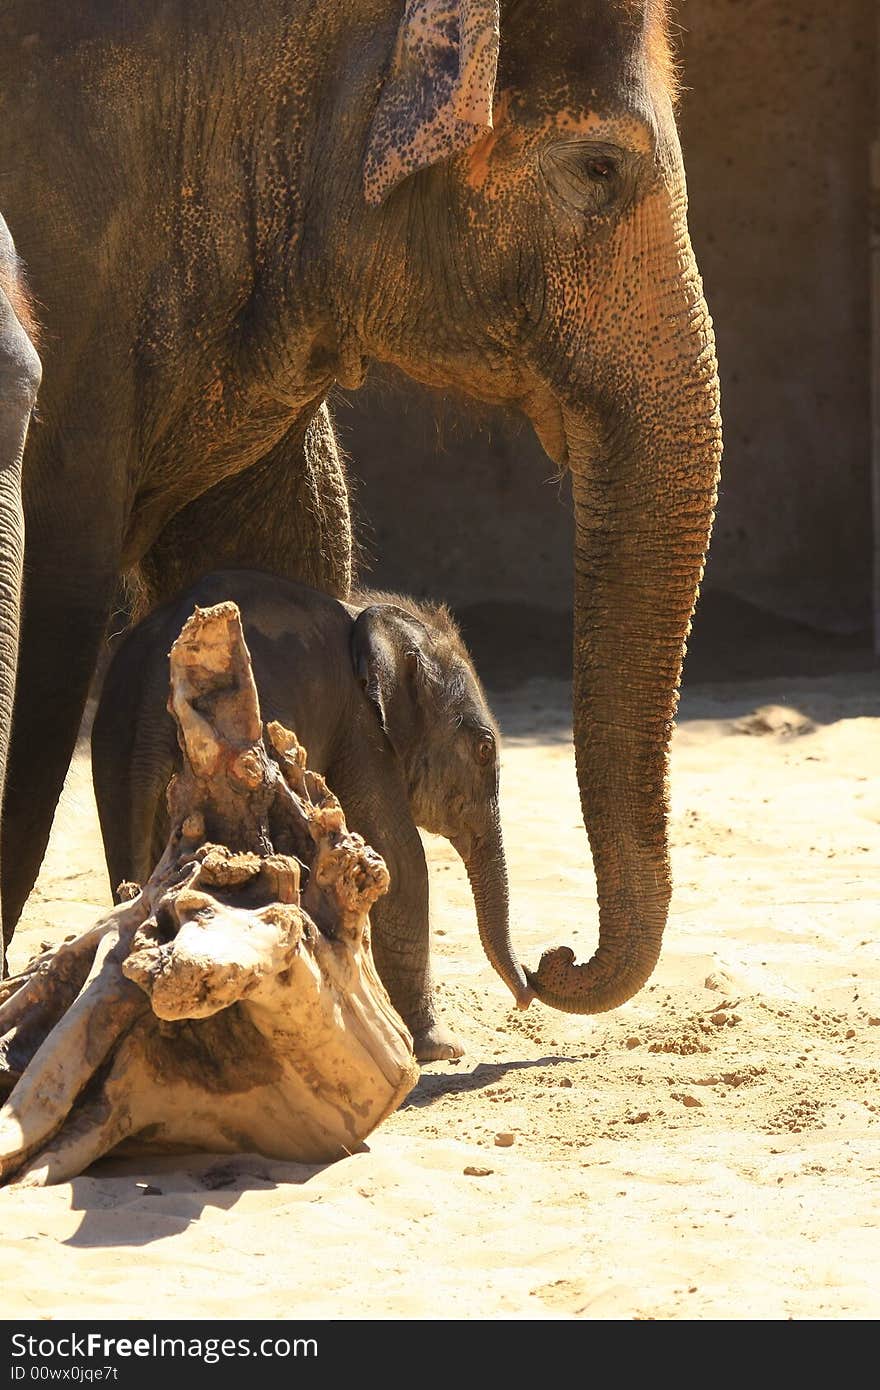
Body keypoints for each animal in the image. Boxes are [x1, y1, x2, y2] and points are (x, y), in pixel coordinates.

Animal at [91, 569, 528, 1056]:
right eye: (485, 749)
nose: (532, 987)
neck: (374, 614)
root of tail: (155, 679)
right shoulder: (361, 729)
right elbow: (400, 858)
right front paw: (441, 1049)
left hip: (116, 748)